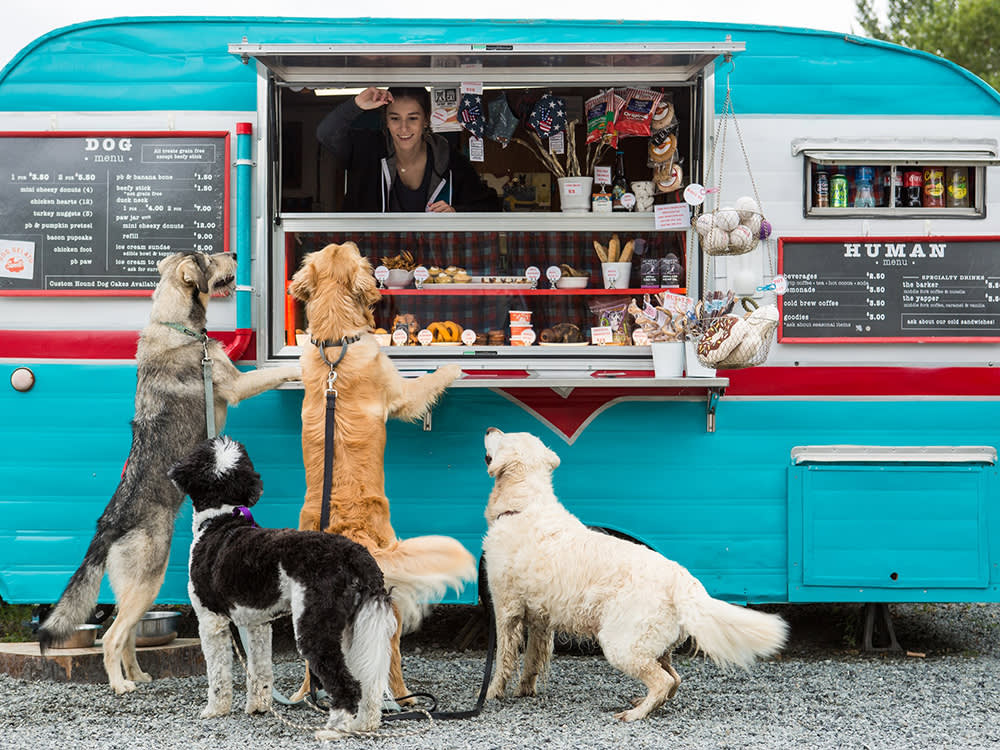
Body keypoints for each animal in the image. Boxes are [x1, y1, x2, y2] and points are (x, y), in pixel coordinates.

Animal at [36, 250, 300, 696]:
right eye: (208, 258)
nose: (234, 254)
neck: (176, 324)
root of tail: (109, 525)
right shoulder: (238, 385)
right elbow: (275, 373)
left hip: (137, 588)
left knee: (125, 634)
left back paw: (138, 675)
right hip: (149, 578)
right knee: (112, 636)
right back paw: (120, 685)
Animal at [168, 434, 394, 740]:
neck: (220, 519)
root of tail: (353, 553)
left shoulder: (211, 620)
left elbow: (218, 673)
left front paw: (215, 709)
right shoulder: (258, 624)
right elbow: (260, 669)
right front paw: (258, 707)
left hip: (314, 626)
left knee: (346, 684)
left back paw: (333, 730)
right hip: (352, 628)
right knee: (369, 682)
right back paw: (364, 724)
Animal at [484, 428, 788, 724]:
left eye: (503, 436)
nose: (489, 428)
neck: (523, 506)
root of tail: (683, 580)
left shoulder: (506, 607)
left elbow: (503, 659)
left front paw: (491, 693)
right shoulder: (540, 619)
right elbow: (532, 660)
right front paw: (525, 690)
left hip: (620, 644)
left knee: (663, 681)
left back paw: (634, 714)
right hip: (655, 647)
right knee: (675, 679)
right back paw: (643, 702)